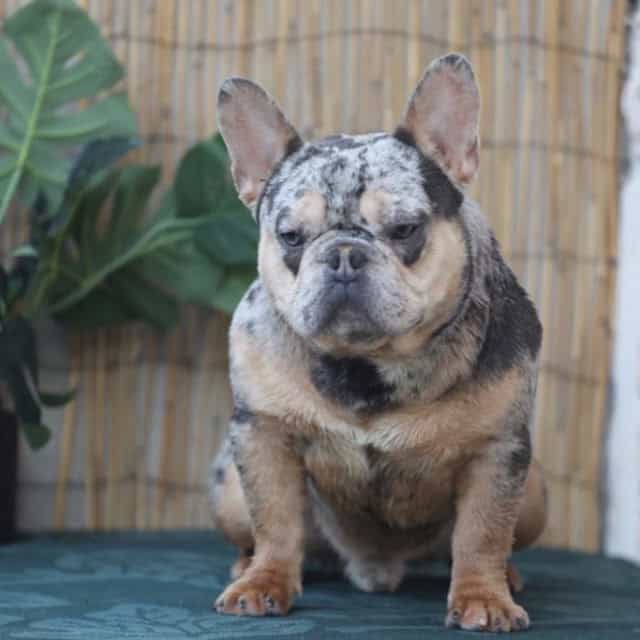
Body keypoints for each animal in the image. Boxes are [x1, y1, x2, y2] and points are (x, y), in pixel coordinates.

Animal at [209, 52, 544, 632]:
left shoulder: (498, 450)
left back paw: (509, 576)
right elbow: (275, 522)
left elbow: (482, 533)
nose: (344, 253)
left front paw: (483, 597)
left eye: (405, 228)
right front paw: (264, 582)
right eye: (290, 236)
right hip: (229, 490)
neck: (367, 363)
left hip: (535, 493)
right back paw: (244, 565)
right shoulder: (264, 436)